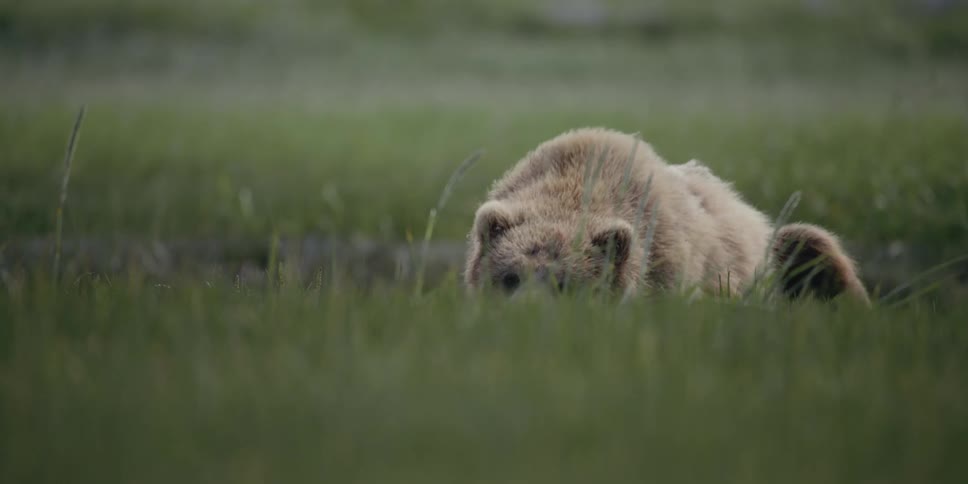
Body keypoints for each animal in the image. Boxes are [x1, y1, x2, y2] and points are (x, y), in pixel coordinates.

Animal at [464, 127, 869, 304]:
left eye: (564, 283)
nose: (526, 311)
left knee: (810, 243)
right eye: (510, 277)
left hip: (767, 259)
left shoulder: (666, 257)